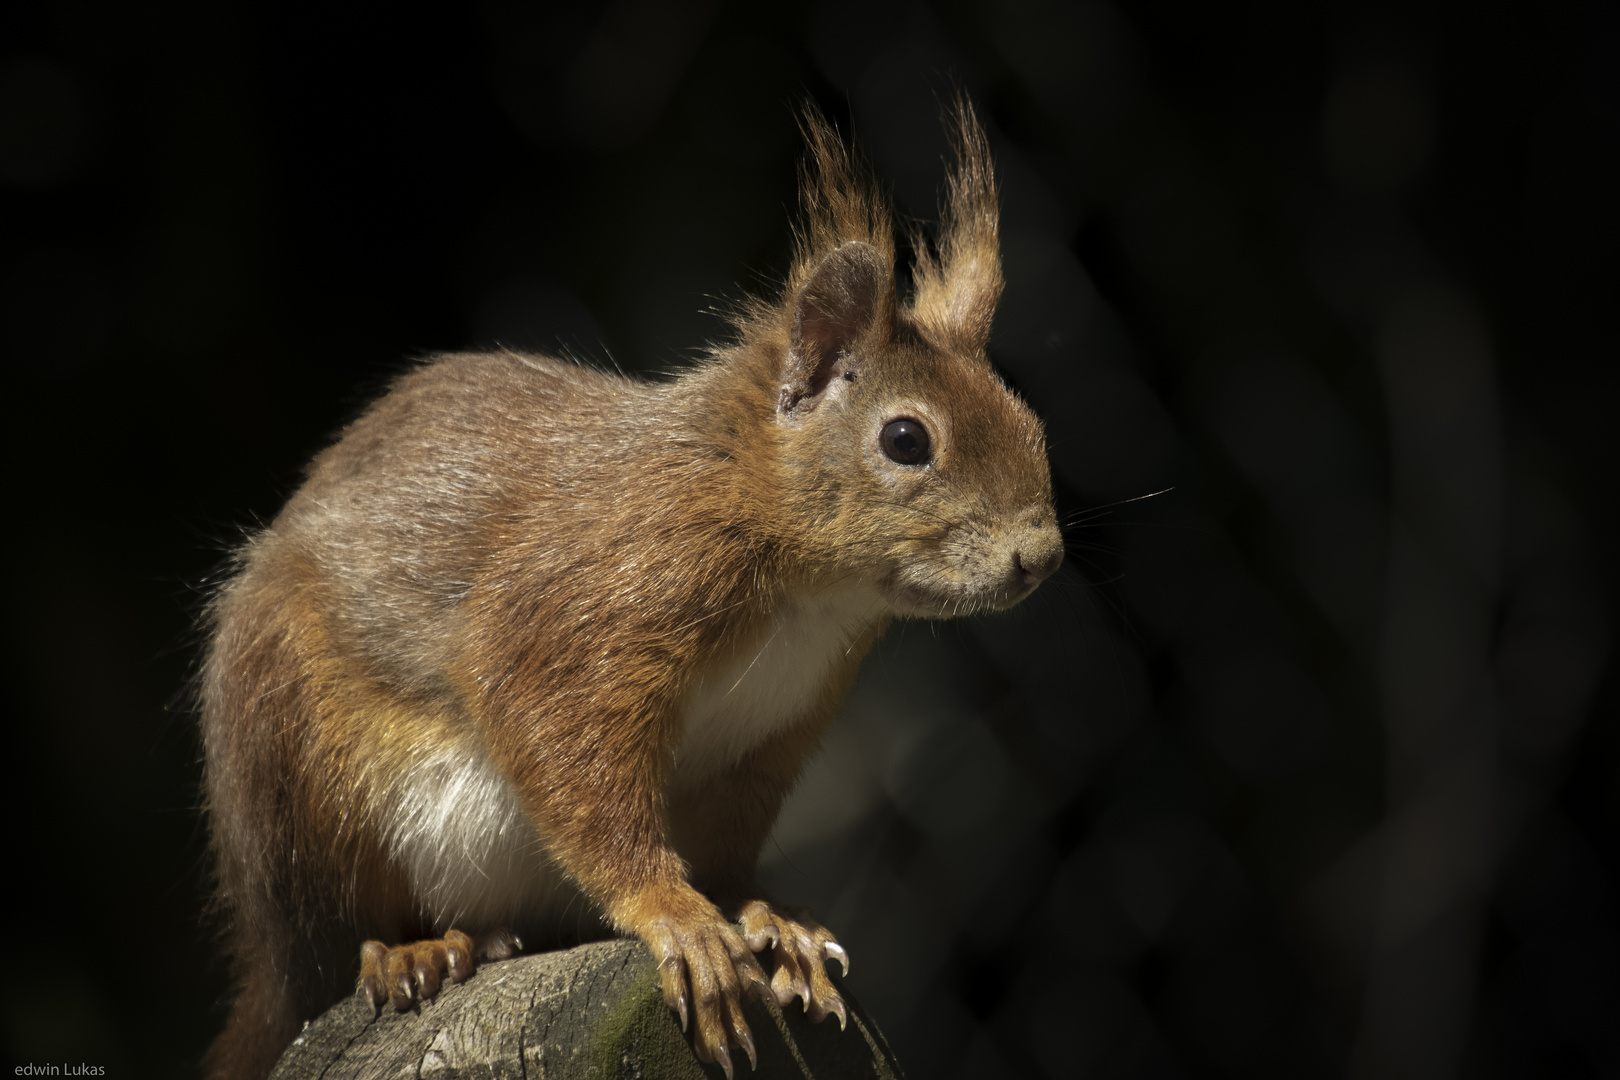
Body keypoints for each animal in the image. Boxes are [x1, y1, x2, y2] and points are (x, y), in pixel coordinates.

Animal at [199, 101, 1062, 1080]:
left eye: (1029, 420)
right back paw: (415, 951)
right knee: (334, 937)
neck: (811, 596)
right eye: (907, 440)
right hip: (302, 766)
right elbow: (572, 765)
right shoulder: (590, 602)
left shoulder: (770, 734)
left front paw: (773, 920)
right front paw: (678, 917)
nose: (1042, 554)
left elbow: (728, 853)